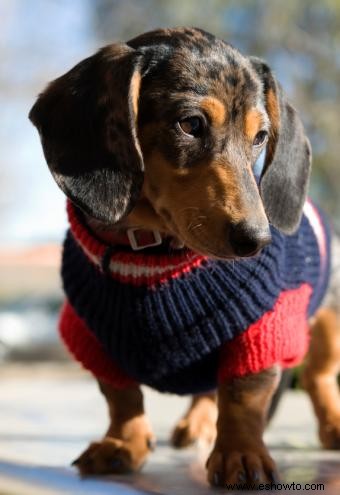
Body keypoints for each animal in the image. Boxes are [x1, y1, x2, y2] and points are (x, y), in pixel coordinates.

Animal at [29, 28, 338, 488]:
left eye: (260, 137)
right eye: (190, 124)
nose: (258, 239)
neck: (151, 253)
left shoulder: (264, 326)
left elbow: (243, 394)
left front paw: (241, 453)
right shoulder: (91, 332)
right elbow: (120, 394)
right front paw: (123, 443)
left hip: (328, 322)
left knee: (318, 377)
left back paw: (331, 424)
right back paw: (198, 423)